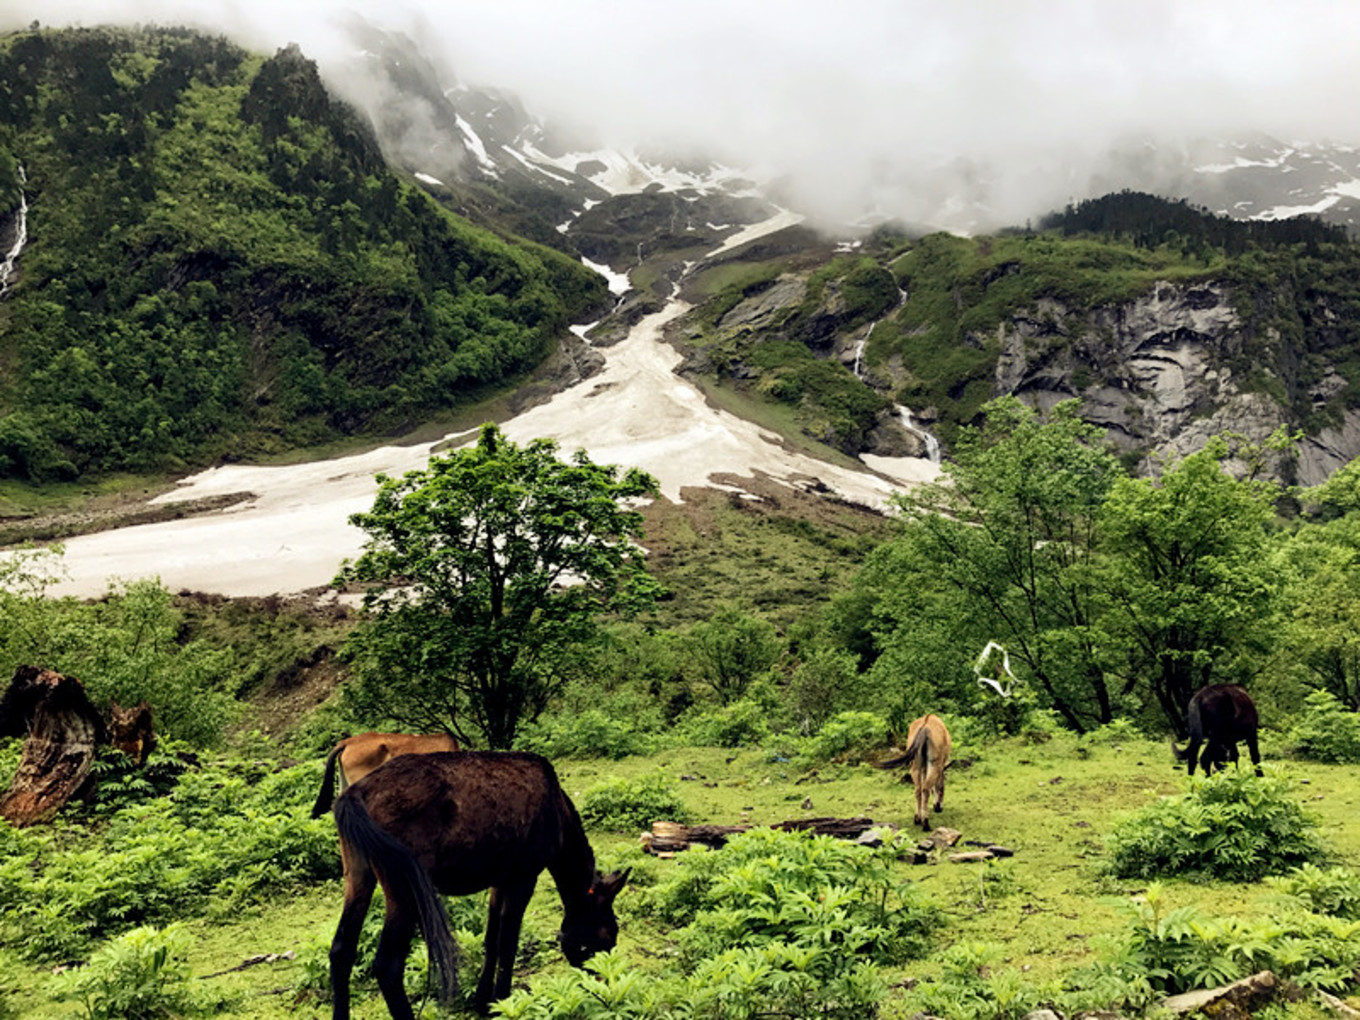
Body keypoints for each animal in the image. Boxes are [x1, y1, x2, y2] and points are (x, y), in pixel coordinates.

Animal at [331, 745, 628, 1017]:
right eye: (609, 934)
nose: (603, 982)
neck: (557, 811)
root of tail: (356, 793)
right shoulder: (524, 877)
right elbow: (508, 944)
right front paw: (504, 1000)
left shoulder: (500, 880)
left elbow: (491, 939)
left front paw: (485, 1001)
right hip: (403, 888)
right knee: (388, 965)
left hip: (358, 875)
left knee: (341, 951)